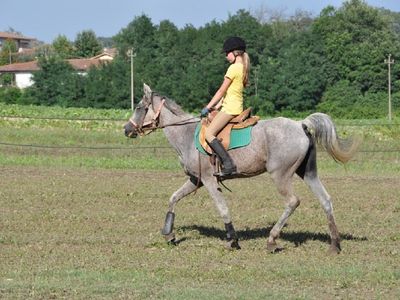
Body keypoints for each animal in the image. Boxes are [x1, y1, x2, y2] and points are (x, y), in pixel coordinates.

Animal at [123, 84, 358, 253]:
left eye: (139, 108)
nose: (126, 130)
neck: (186, 134)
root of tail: (301, 124)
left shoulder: (208, 180)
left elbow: (222, 208)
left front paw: (232, 241)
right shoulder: (195, 180)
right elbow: (173, 198)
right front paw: (169, 233)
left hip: (280, 175)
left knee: (292, 202)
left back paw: (272, 240)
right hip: (308, 173)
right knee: (325, 200)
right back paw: (334, 245)